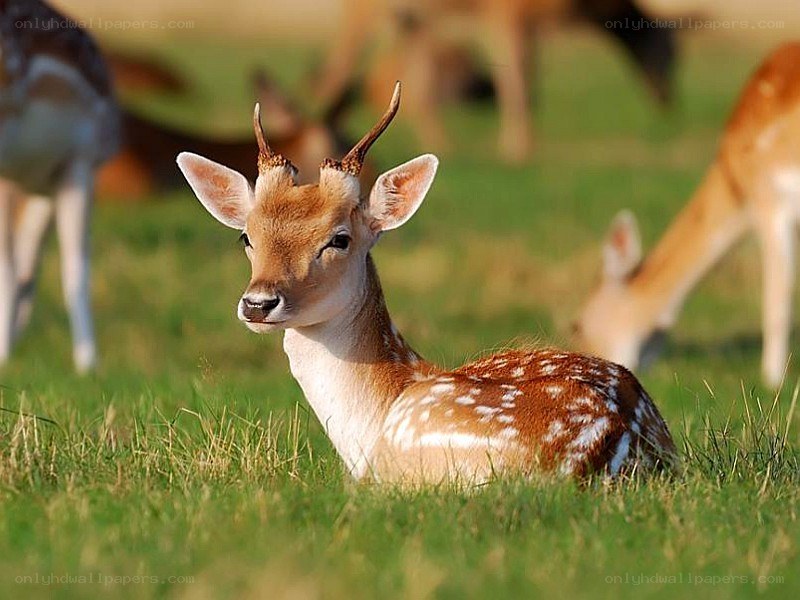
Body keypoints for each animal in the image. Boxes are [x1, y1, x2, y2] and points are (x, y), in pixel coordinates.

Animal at [315, 0, 675, 162]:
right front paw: (517, 148)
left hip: (411, 20)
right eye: (671, 53)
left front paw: (520, 144)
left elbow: (527, 85)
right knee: (336, 72)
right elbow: (517, 83)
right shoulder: (507, 15)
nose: (669, 101)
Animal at [574, 42, 800, 390]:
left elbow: (777, 297)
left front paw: (773, 380)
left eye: (578, 324)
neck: (736, 185)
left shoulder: (770, 199)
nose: (585, 362)